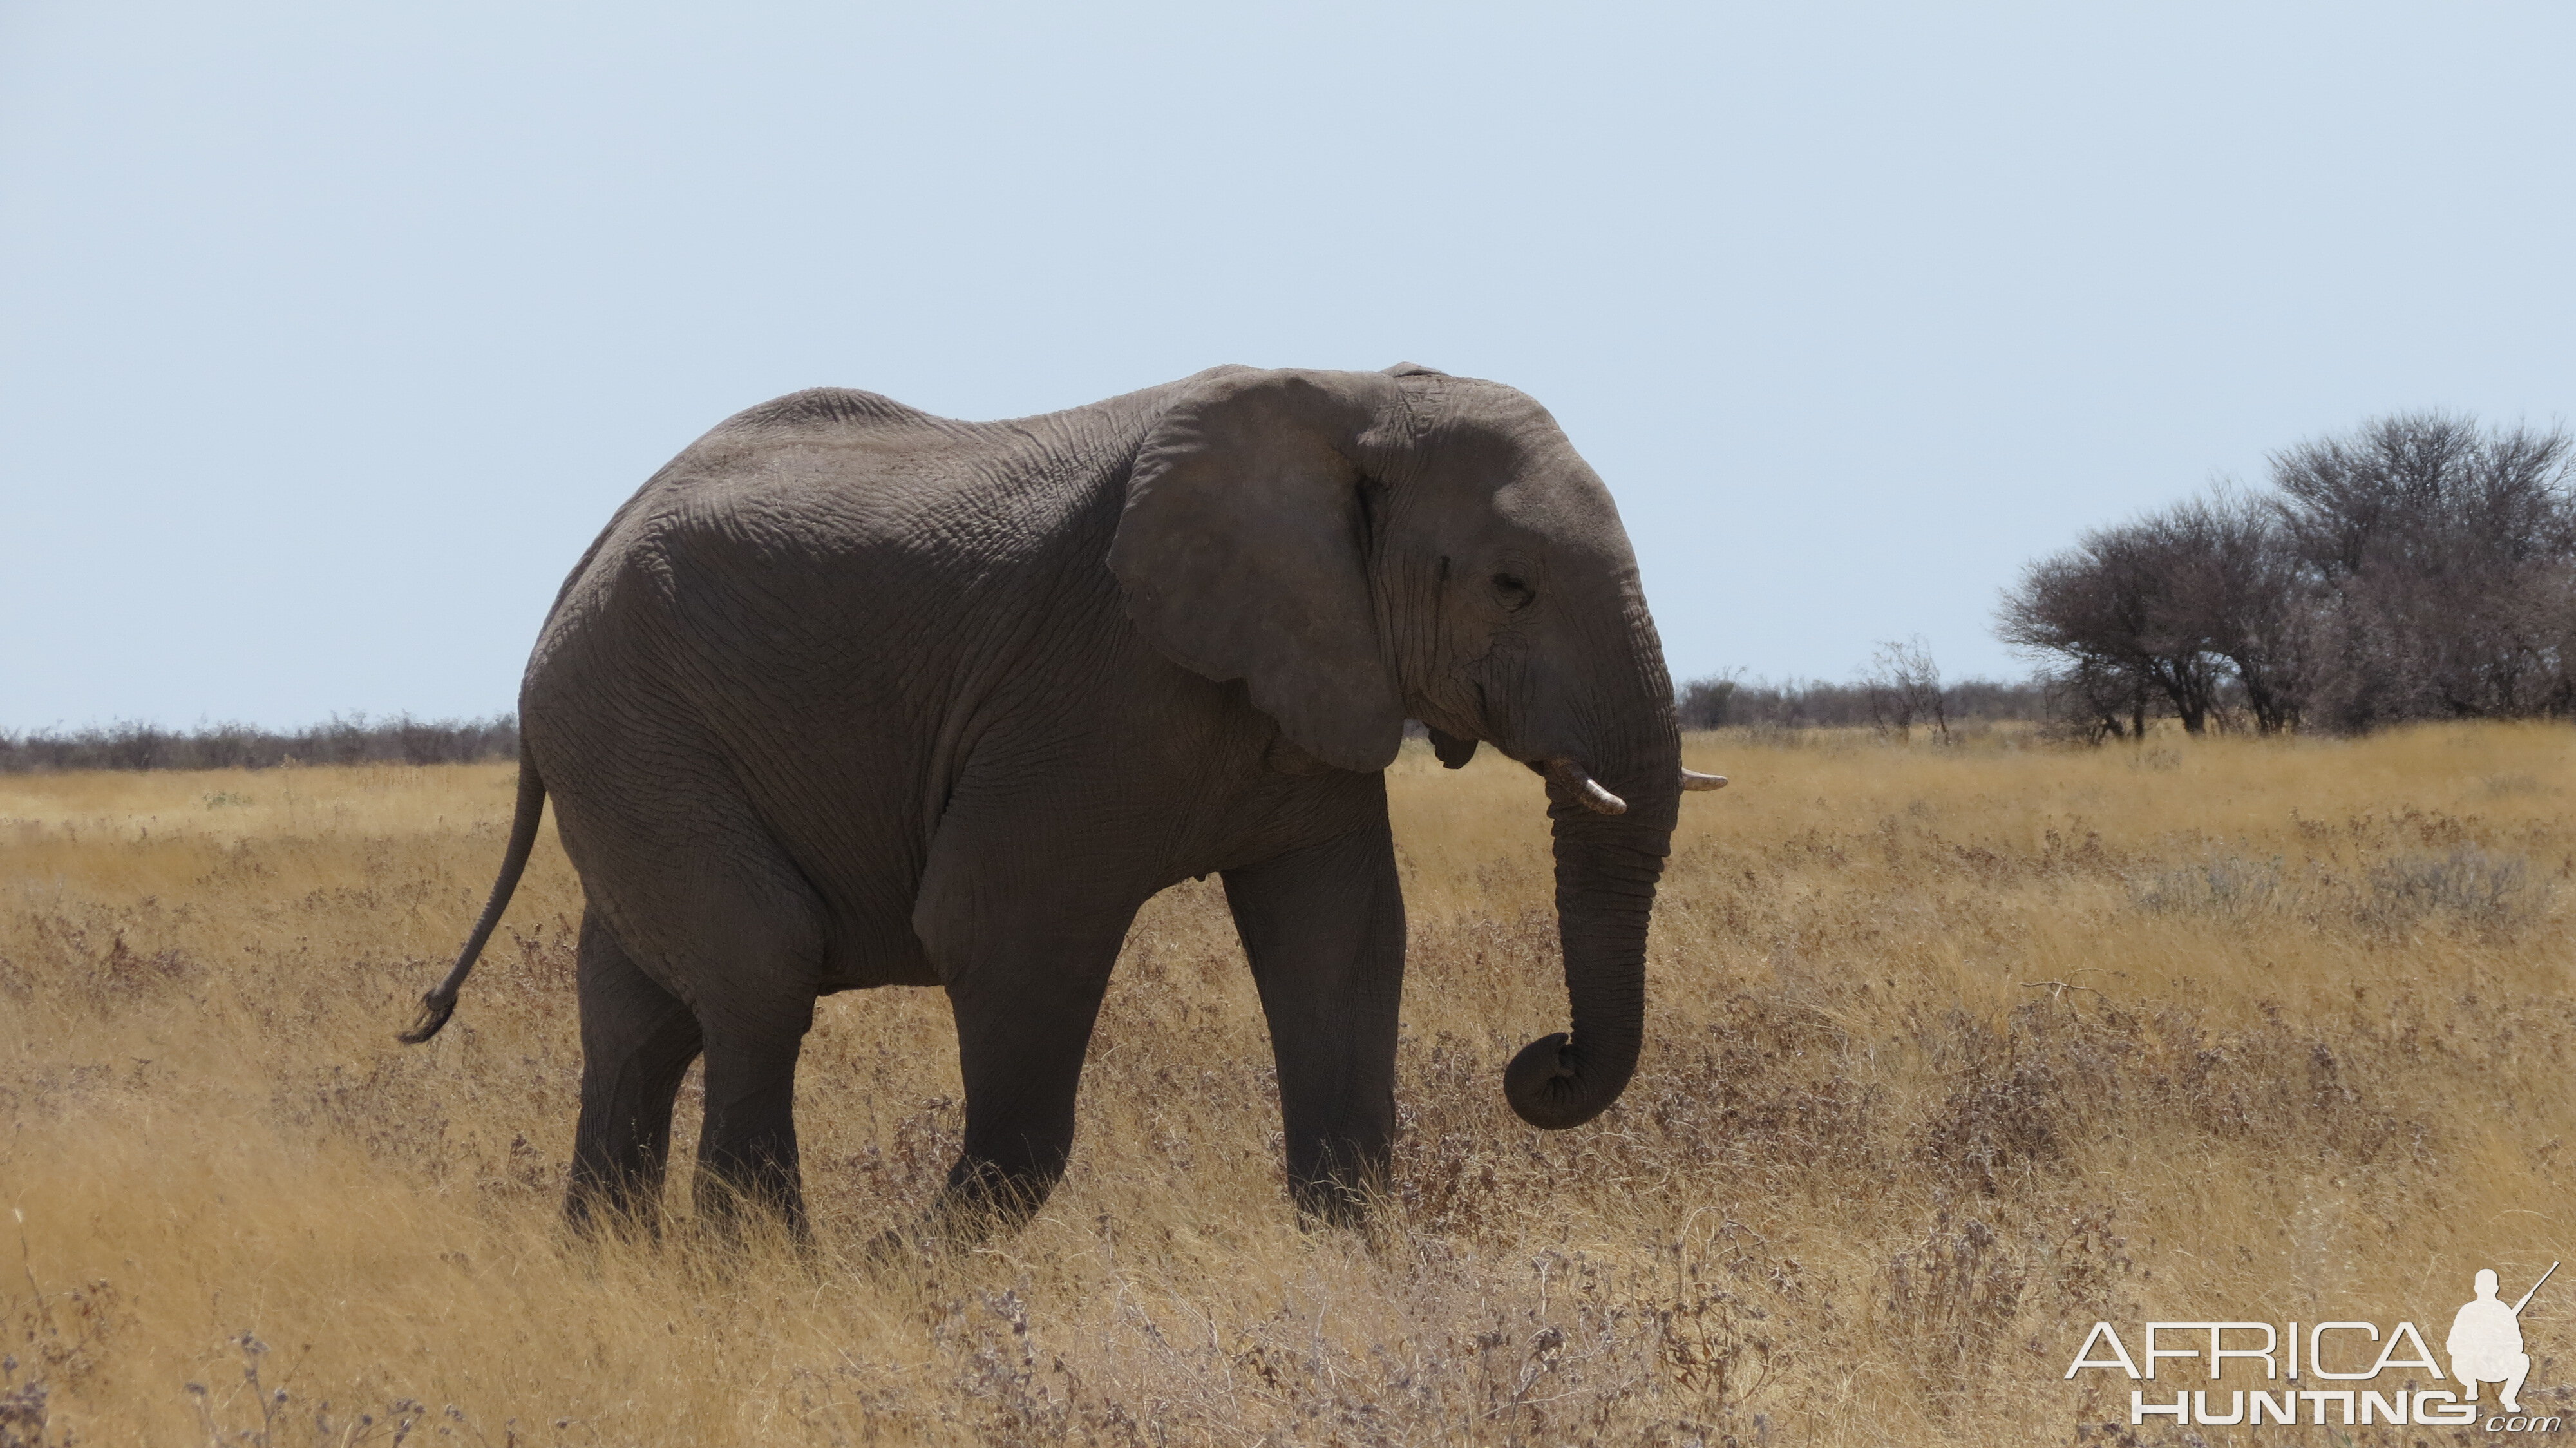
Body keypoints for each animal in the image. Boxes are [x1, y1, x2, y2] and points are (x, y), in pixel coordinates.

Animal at [402, 361, 1721, 1226]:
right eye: (1511, 584)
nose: (1544, 1060)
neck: (1356, 398)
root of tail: (586, 555)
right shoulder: (1083, 692)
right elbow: (998, 930)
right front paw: (911, 1274)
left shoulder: (1313, 685)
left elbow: (1341, 939)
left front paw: (1351, 1265)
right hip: (634, 727)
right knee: (761, 974)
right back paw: (765, 1271)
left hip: (629, 743)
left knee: (641, 1016)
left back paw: (613, 1268)